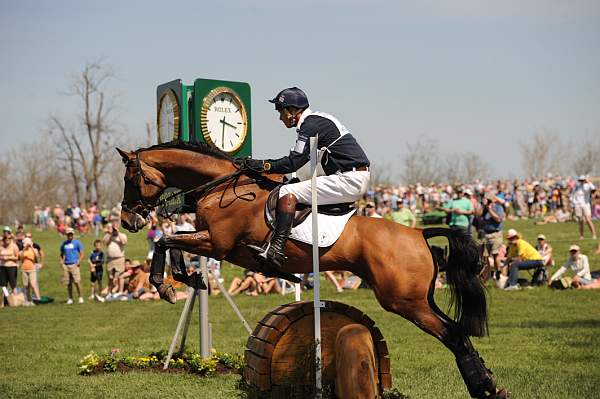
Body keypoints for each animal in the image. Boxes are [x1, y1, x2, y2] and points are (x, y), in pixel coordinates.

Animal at [117, 142, 506, 398]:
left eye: (130, 179)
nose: (127, 220)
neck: (225, 187)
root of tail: (417, 233)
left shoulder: (218, 244)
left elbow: (166, 241)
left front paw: (166, 284)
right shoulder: (216, 244)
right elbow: (172, 242)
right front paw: (187, 278)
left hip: (404, 301)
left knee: (452, 335)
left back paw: (484, 387)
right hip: (419, 298)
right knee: (458, 332)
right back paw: (488, 382)